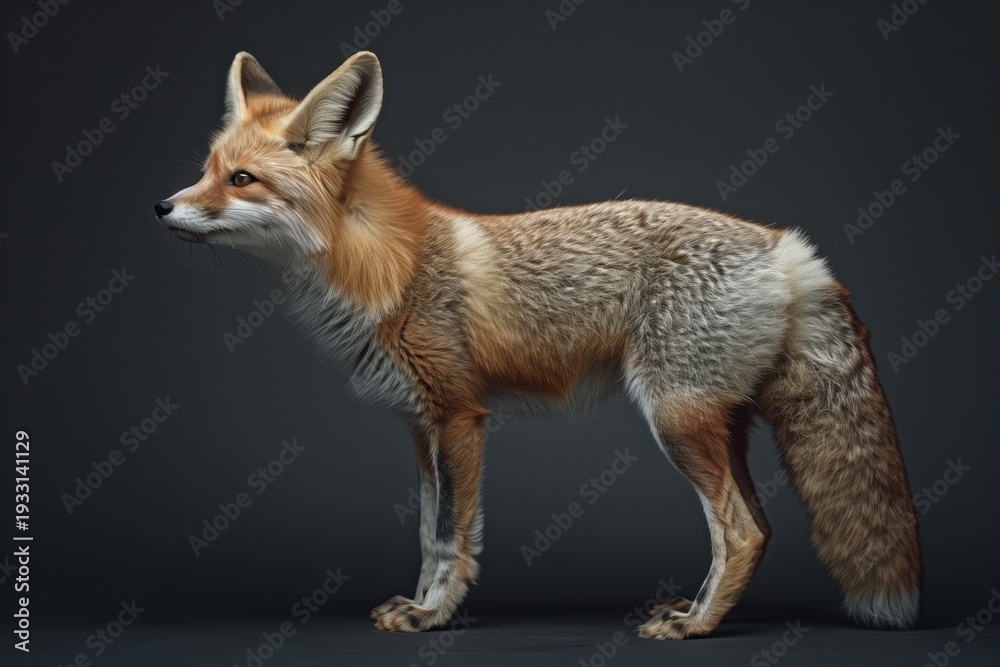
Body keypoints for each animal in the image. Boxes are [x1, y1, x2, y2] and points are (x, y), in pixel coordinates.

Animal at [154, 51, 921, 639]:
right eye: (206, 169)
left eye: (241, 180)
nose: (160, 206)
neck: (386, 263)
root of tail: (787, 247)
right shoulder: (418, 424)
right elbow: (427, 534)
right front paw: (421, 604)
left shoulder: (460, 416)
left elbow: (452, 536)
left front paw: (434, 617)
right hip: (717, 423)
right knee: (757, 523)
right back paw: (703, 610)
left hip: (674, 418)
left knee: (743, 529)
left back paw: (696, 627)